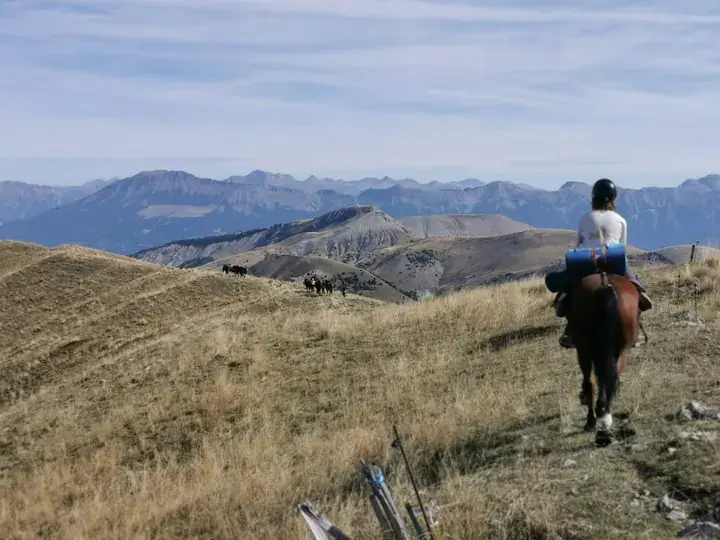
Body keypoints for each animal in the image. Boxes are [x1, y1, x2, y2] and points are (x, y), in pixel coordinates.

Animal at [568, 272, 640, 446]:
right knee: (611, 378)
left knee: (592, 382)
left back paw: (594, 421)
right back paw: (604, 422)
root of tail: (604, 284)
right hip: (622, 348)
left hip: (585, 349)